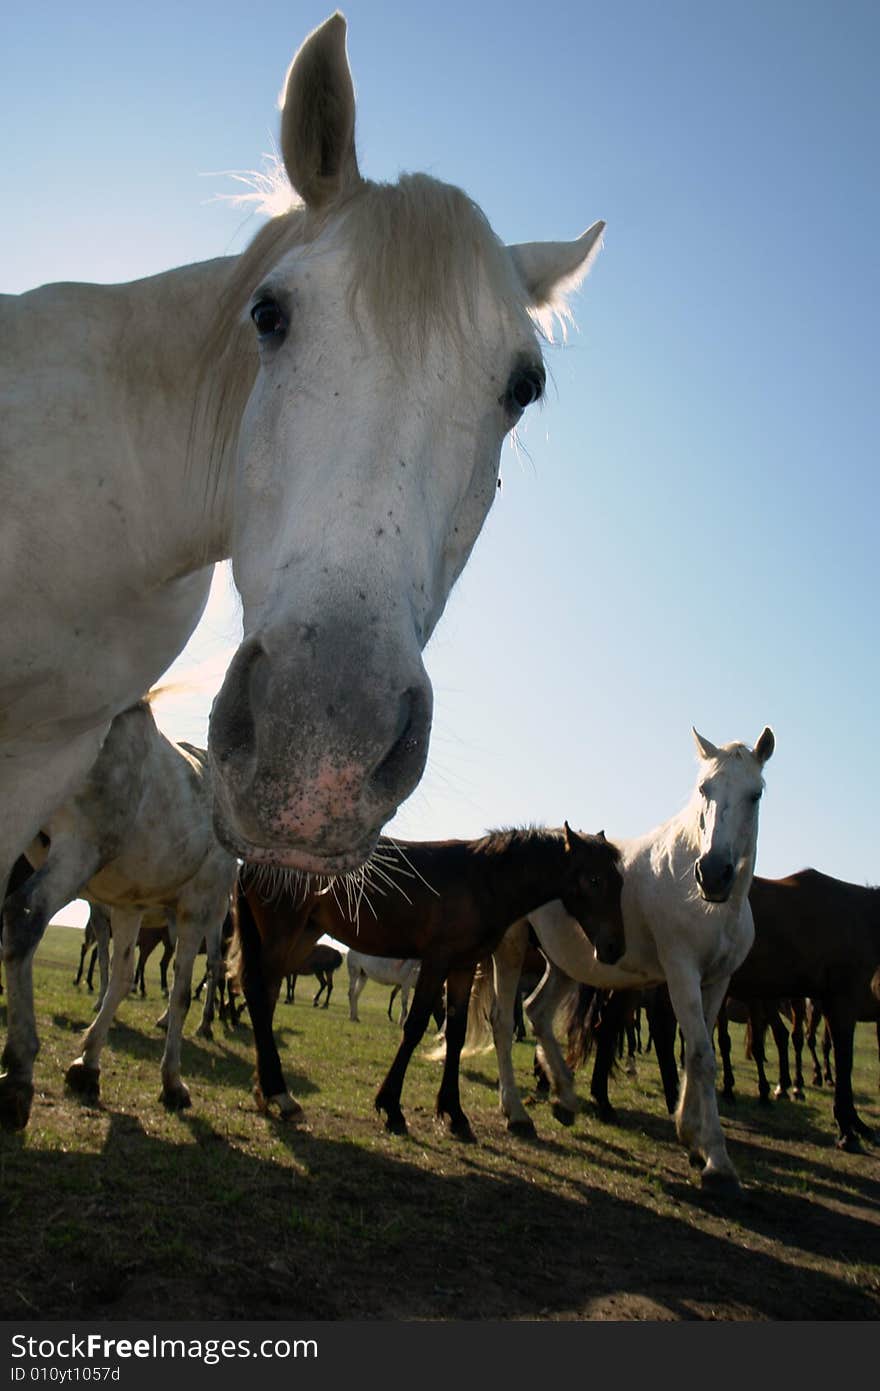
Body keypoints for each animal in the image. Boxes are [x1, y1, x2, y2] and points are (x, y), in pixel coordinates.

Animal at [4, 695, 236, 1118]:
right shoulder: (194, 912)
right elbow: (180, 993)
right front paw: (172, 1082)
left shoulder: (131, 906)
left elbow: (122, 975)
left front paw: (88, 1065)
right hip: (78, 851)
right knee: (24, 916)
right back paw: (18, 1069)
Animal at [234, 817, 625, 1135]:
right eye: (594, 879)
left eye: (619, 882)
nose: (614, 948)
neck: (483, 881)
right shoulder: (437, 961)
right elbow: (415, 1025)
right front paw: (391, 1106)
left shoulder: (463, 966)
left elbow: (455, 1031)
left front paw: (454, 1113)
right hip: (283, 934)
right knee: (258, 994)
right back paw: (281, 1095)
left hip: (301, 936)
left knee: (267, 996)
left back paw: (266, 1092)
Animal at [478, 728, 772, 1196]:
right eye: (704, 789)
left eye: (755, 793)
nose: (713, 873)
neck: (709, 905)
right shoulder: (681, 975)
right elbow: (702, 1056)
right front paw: (717, 1162)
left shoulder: (717, 982)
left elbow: (695, 1053)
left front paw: (692, 1136)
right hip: (510, 949)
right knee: (505, 1021)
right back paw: (517, 1114)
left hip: (566, 963)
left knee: (537, 1012)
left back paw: (566, 1097)